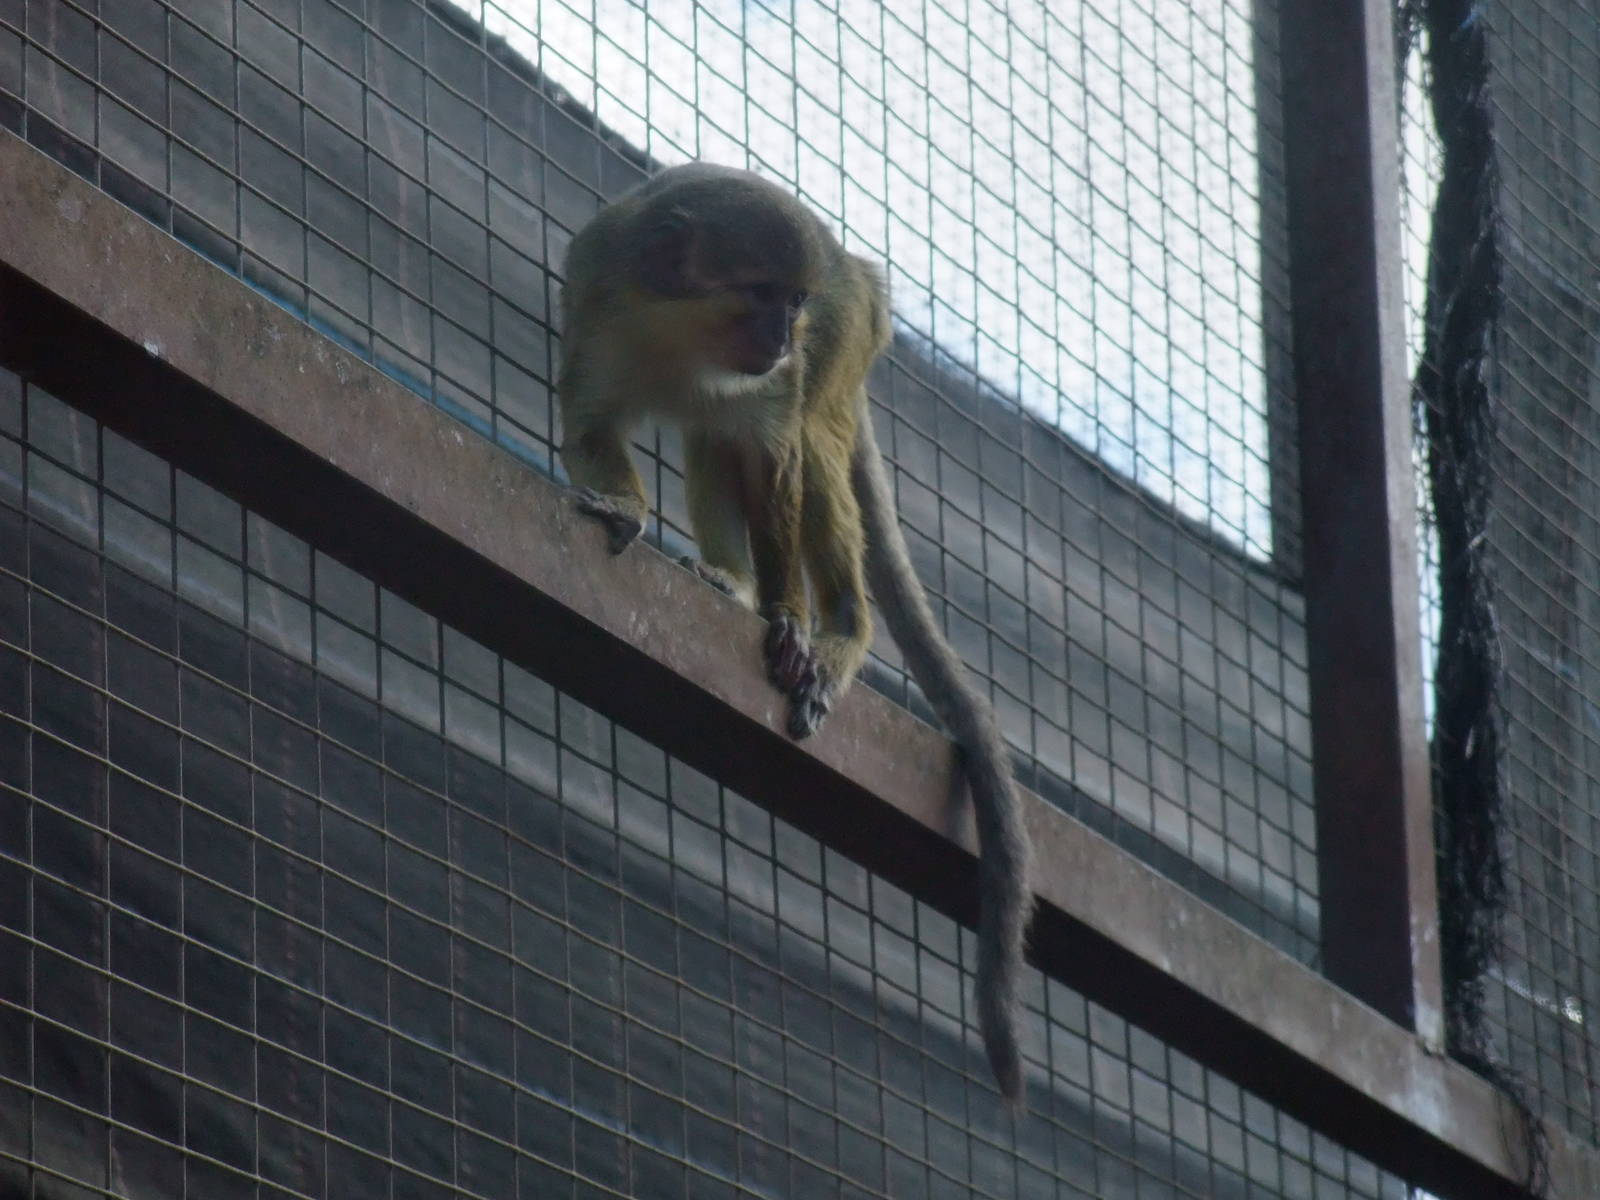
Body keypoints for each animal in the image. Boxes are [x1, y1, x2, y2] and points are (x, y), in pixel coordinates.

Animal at [556, 162, 1033, 1102]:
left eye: (792, 300)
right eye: (758, 295)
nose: (784, 335)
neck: (679, 331)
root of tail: (861, 271)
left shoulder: (792, 356)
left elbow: (778, 455)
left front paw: (790, 621)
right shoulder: (598, 295)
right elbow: (595, 424)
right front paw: (623, 510)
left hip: (851, 332)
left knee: (811, 435)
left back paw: (842, 627)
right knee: (718, 438)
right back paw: (733, 581)